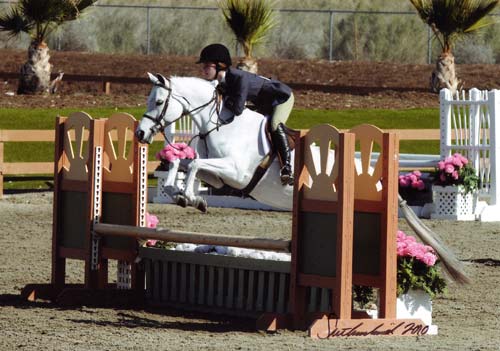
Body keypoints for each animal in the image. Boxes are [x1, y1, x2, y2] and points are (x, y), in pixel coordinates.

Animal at [135, 73, 294, 213]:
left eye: (159, 102)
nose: (140, 133)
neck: (222, 126)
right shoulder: (217, 178)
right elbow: (179, 162)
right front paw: (182, 197)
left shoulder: (238, 173)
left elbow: (194, 164)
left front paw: (191, 197)